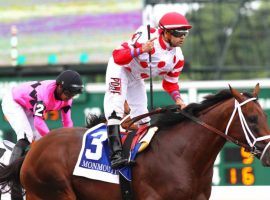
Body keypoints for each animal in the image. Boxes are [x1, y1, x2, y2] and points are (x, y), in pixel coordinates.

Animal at [0, 85, 270, 200]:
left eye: (264, 116)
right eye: (252, 119)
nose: (269, 154)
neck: (183, 155)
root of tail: (31, 153)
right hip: (54, 192)